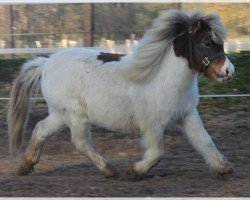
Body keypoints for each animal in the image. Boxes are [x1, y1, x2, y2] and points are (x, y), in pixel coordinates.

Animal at [7, 9, 234, 180]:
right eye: (207, 42)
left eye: (220, 42)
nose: (228, 71)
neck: (166, 78)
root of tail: (46, 63)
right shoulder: (152, 125)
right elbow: (157, 154)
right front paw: (134, 171)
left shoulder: (187, 116)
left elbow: (206, 142)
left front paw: (223, 168)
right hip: (75, 117)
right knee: (80, 143)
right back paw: (109, 170)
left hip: (60, 115)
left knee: (40, 129)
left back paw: (26, 165)